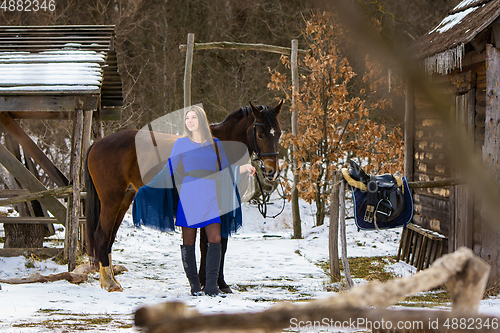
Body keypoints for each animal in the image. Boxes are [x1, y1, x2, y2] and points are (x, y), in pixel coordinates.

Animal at [85, 101, 282, 290]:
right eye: (261, 135)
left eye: (279, 133)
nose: (272, 171)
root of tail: (97, 143)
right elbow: (207, 244)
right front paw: (206, 282)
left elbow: (219, 244)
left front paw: (220, 284)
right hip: (112, 200)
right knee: (102, 235)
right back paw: (109, 283)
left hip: (124, 199)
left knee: (110, 237)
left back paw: (112, 280)